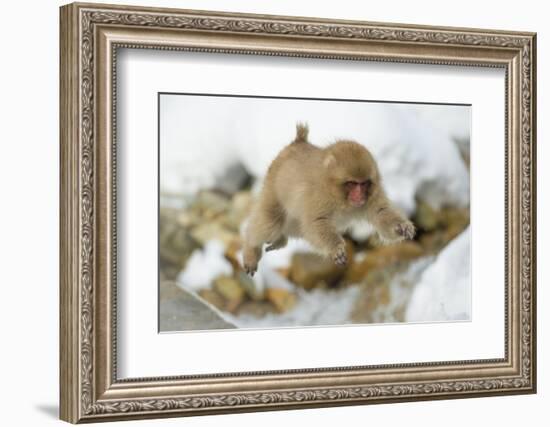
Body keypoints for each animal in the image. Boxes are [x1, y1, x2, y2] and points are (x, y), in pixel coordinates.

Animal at [244, 123, 416, 278]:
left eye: (364, 184)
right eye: (352, 183)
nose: (360, 196)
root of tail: (297, 142)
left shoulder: (373, 194)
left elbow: (381, 213)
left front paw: (402, 226)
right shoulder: (318, 196)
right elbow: (317, 222)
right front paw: (336, 248)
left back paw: (280, 240)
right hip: (272, 189)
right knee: (270, 223)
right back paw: (251, 249)